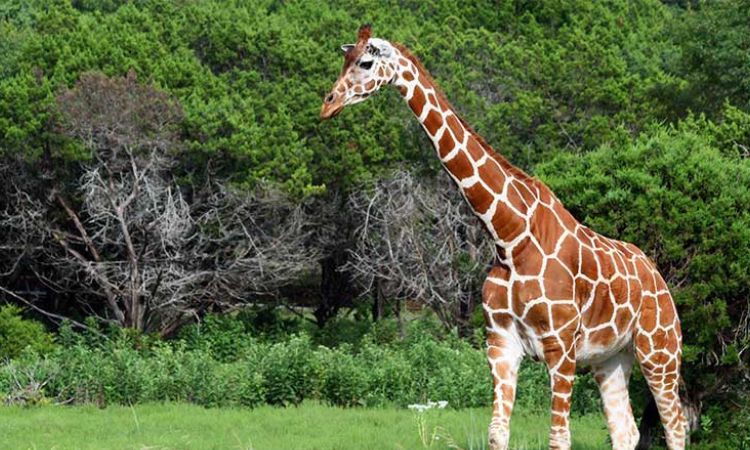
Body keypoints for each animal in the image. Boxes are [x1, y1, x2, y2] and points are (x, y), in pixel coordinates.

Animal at [320, 25, 685, 450]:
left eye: (365, 62)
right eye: (344, 60)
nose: (328, 105)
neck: (510, 237)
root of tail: (658, 277)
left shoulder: (561, 348)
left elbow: (559, 437)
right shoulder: (500, 345)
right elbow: (497, 432)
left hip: (660, 350)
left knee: (675, 425)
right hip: (610, 358)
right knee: (626, 431)